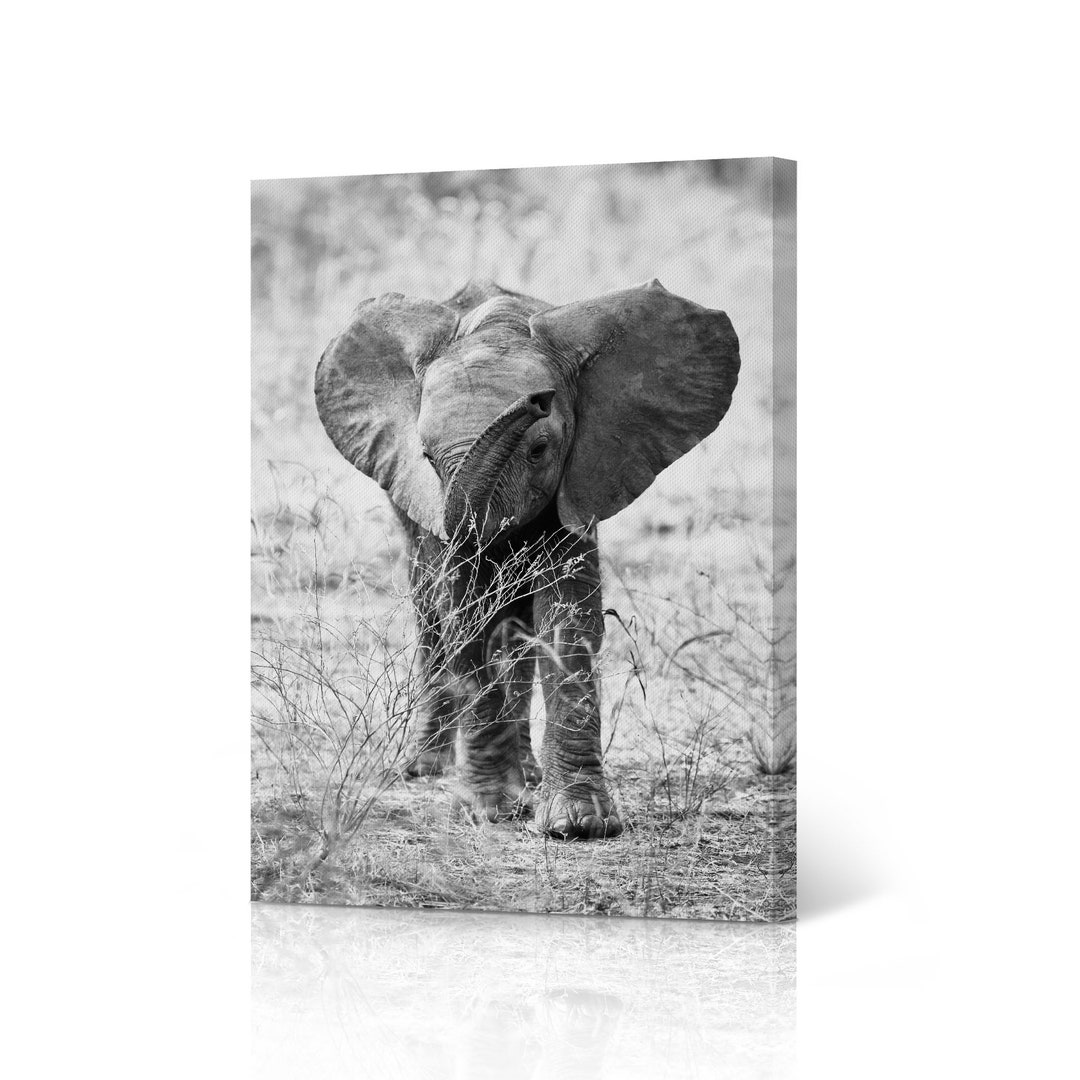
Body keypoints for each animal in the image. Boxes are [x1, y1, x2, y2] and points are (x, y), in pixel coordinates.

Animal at [315, 279, 740, 840]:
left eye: (539, 448)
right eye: (426, 457)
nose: (538, 399)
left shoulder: (583, 476)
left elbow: (565, 617)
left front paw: (577, 825)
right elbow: (466, 617)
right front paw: (489, 811)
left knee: (512, 631)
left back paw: (530, 775)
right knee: (431, 611)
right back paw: (427, 768)